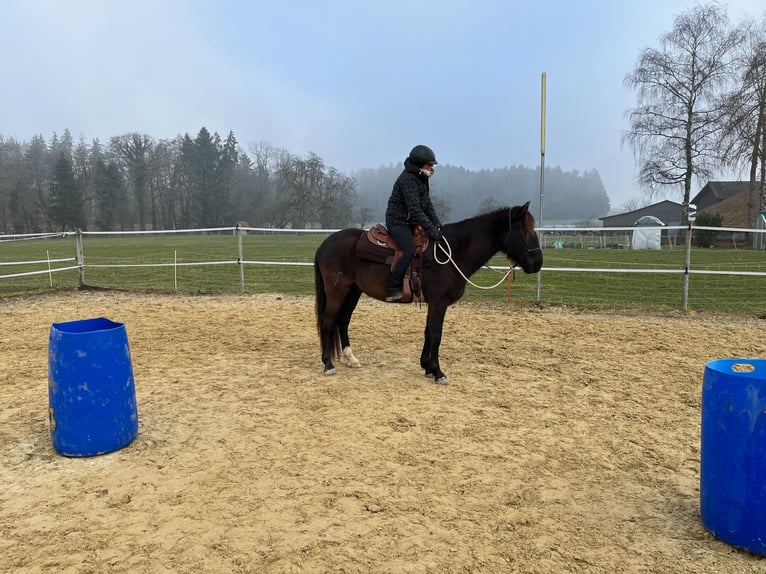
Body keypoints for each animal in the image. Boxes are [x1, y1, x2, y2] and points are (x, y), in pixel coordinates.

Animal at [314, 202, 544, 388]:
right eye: (523, 230)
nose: (537, 263)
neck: (452, 252)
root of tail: (326, 243)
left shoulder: (433, 304)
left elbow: (427, 332)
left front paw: (426, 366)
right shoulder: (439, 303)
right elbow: (436, 334)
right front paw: (438, 372)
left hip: (353, 292)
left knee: (342, 321)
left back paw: (350, 358)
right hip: (337, 292)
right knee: (327, 321)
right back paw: (328, 364)